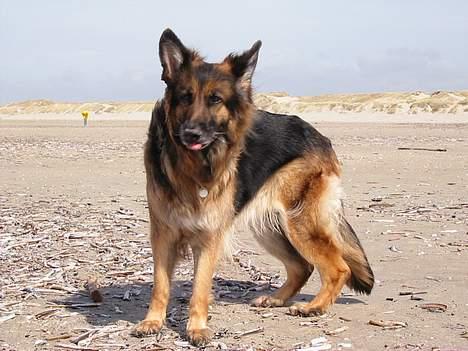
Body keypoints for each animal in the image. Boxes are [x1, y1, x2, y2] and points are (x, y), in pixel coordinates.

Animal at [133, 28, 374, 346]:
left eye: (215, 99)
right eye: (185, 97)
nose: (191, 133)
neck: (195, 165)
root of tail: (318, 135)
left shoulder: (209, 237)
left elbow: (200, 288)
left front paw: (196, 328)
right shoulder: (162, 234)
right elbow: (160, 285)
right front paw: (153, 322)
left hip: (300, 223)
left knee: (338, 267)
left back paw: (314, 307)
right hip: (269, 228)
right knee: (303, 266)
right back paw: (277, 299)